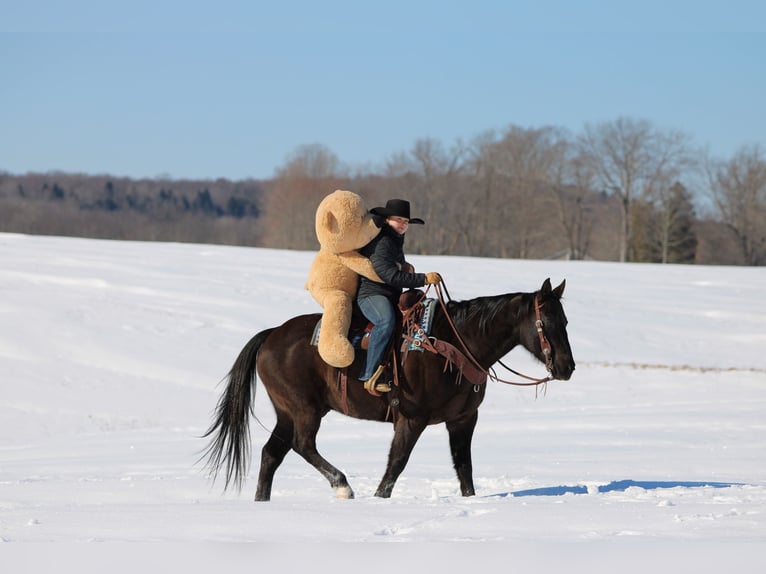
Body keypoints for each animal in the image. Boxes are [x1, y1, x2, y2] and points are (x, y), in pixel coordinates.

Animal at [202, 278, 575, 500]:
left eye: (566, 320)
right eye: (546, 321)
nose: (566, 367)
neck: (455, 344)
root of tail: (272, 335)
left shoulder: (463, 420)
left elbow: (464, 467)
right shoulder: (411, 419)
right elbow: (396, 464)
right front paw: (379, 499)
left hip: (287, 412)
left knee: (271, 454)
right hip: (304, 409)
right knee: (302, 444)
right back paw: (342, 485)